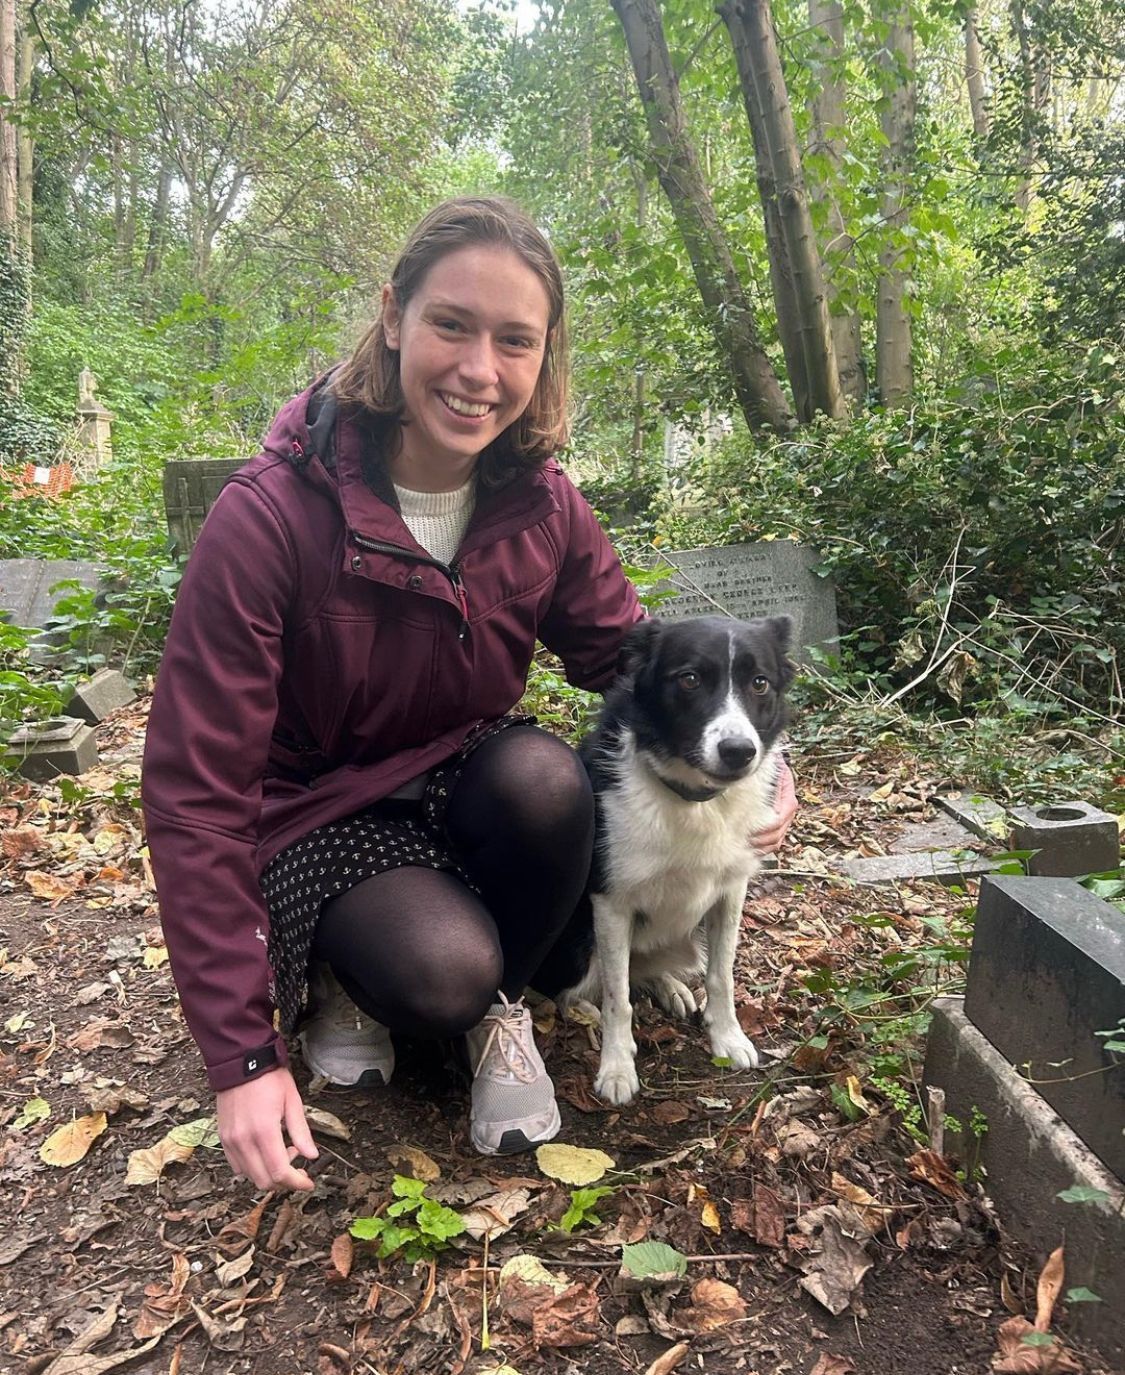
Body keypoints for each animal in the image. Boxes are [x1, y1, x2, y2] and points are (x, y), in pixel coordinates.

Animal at [552, 618, 786, 1111]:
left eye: (759, 683)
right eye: (690, 678)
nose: (739, 751)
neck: (694, 800)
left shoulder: (729, 892)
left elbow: (721, 976)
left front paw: (727, 1037)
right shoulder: (611, 902)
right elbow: (618, 997)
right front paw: (617, 1067)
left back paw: (671, 988)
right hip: (578, 942)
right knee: (580, 986)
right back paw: (585, 1009)